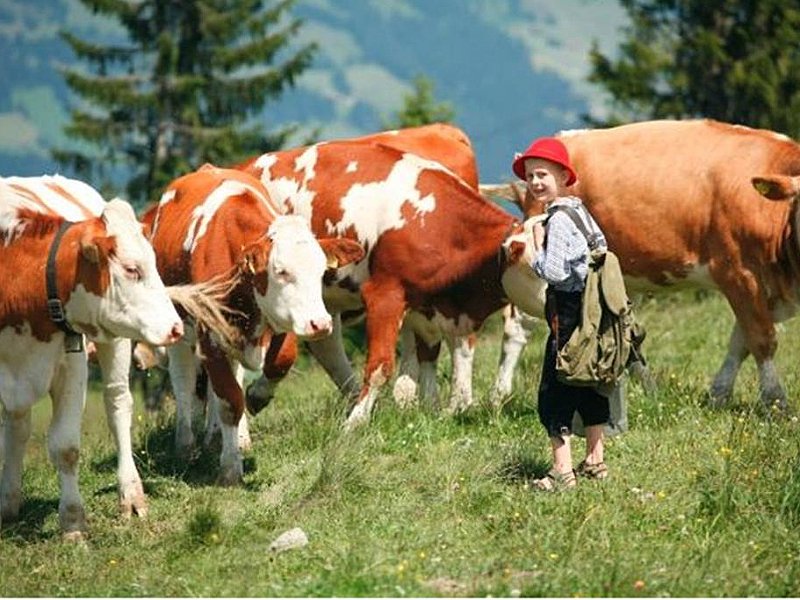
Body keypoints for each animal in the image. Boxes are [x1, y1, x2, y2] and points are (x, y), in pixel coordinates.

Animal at [0, 177, 183, 540]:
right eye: (131, 269)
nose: (175, 327)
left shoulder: (71, 362)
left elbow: (66, 447)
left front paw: (73, 524)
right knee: (18, 425)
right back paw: (9, 503)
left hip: (116, 343)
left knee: (117, 405)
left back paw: (131, 494)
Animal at [149, 165, 362, 482]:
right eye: (281, 271)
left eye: (321, 269)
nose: (321, 323)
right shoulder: (210, 338)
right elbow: (228, 400)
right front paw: (230, 468)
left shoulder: (282, 319)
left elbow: (280, 362)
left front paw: (258, 398)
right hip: (178, 325)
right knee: (183, 379)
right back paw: (185, 444)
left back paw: (226, 437)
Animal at [238, 141, 536, 428]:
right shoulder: (385, 295)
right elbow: (380, 366)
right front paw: (355, 424)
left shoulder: (430, 306)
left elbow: (433, 352)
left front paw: (434, 410)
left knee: (325, 344)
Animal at [490, 119, 800, 410]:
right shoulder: (736, 272)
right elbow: (762, 339)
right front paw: (776, 401)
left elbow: (740, 342)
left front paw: (719, 394)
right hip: (536, 282)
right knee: (518, 327)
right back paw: (498, 395)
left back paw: (649, 392)